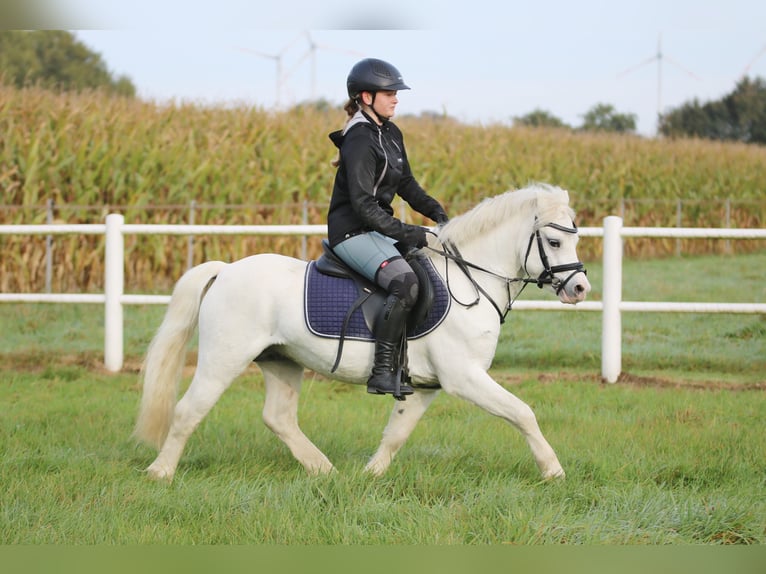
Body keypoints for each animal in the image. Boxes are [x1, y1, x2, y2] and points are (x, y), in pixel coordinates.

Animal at [135, 183, 592, 482]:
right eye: (554, 242)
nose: (580, 289)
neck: (469, 281)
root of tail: (226, 270)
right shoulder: (464, 377)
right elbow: (522, 412)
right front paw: (553, 470)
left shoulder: (426, 385)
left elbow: (396, 433)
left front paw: (370, 476)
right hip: (223, 358)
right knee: (188, 410)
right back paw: (160, 472)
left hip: (282, 361)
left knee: (278, 418)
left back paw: (326, 471)